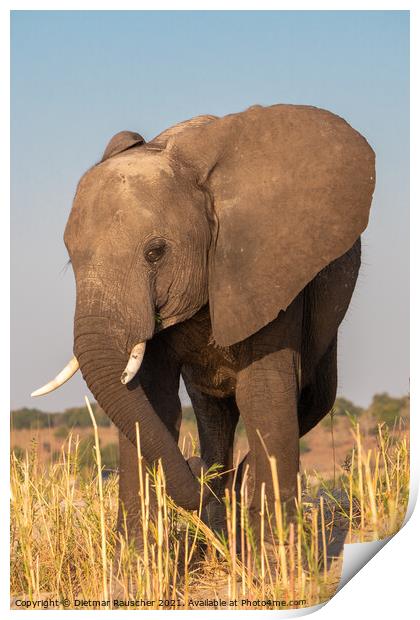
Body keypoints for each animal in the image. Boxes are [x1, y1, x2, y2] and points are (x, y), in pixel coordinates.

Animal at [32, 104, 374, 540]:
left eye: (155, 252)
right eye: (71, 258)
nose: (197, 471)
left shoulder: (268, 271)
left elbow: (264, 394)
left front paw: (275, 552)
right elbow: (151, 398)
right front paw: (136, 559)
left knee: (313, 397)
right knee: (215, 412)